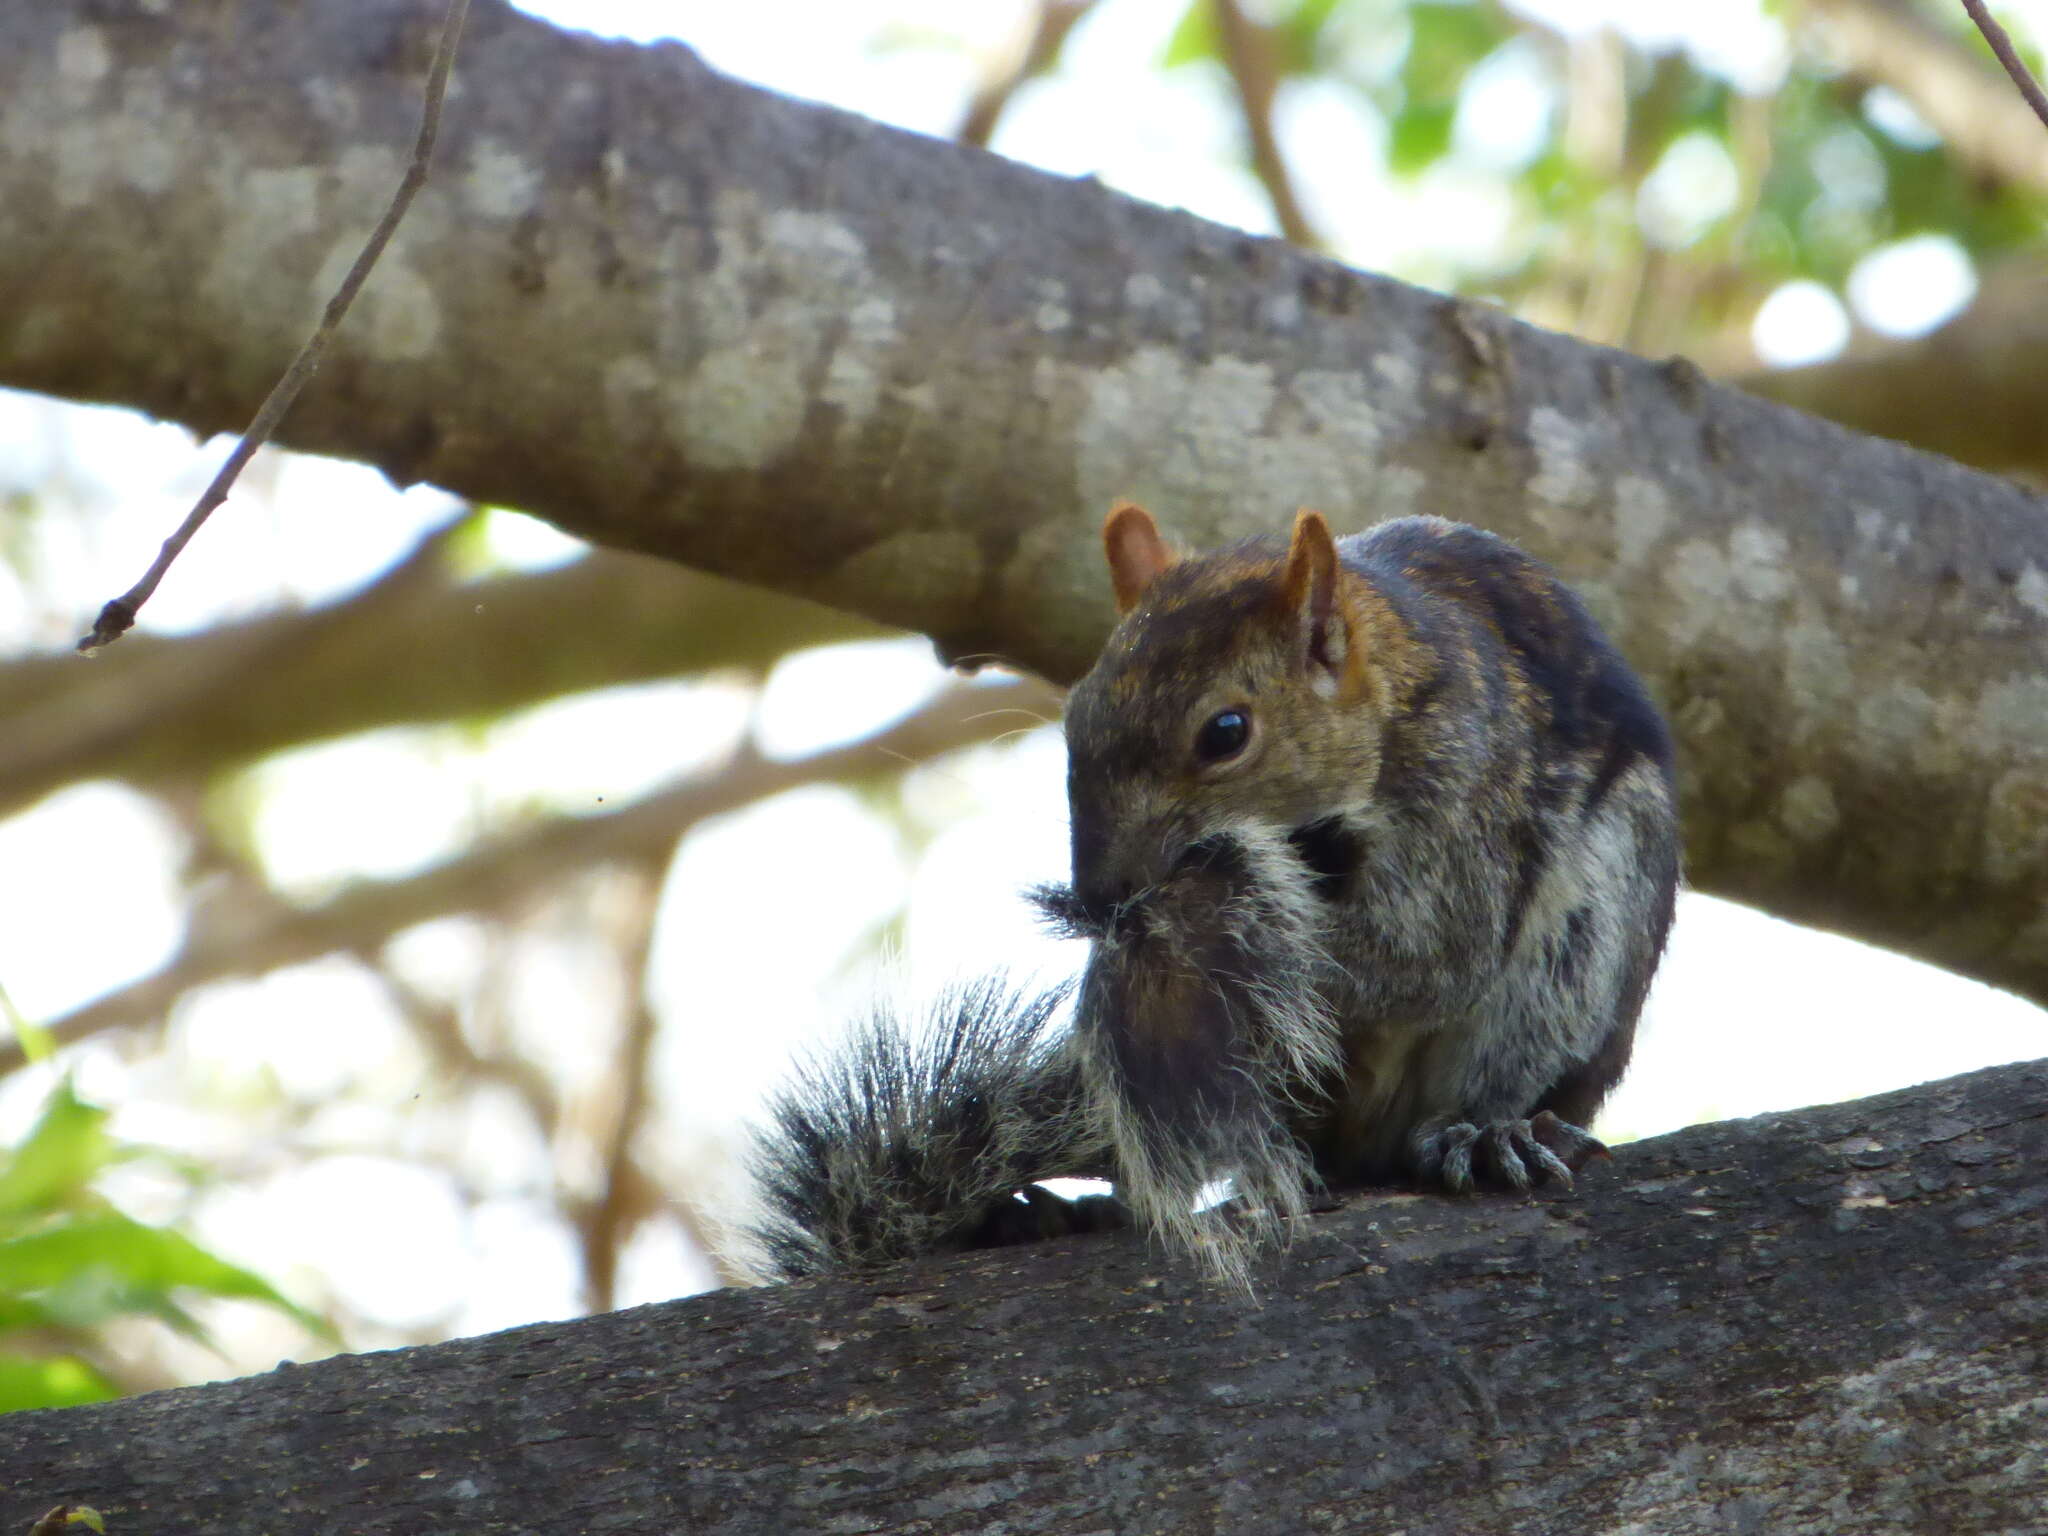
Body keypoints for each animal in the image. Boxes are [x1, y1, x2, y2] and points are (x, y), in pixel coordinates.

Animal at [753, 505, 1679, 1286]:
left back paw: (1489, 1134)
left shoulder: (1465, 802)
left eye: (1226, 734)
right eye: (1075, 715)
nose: (1103, 898)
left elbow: (1427, 958)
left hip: (1579, 949)